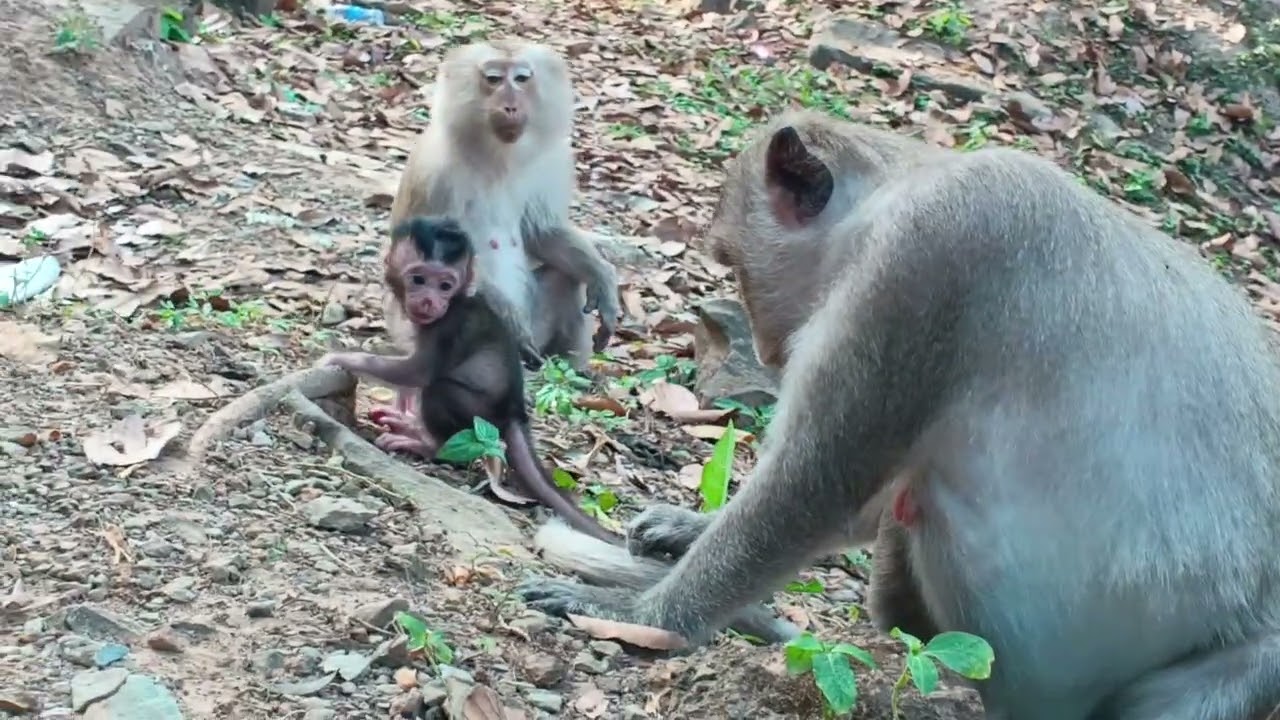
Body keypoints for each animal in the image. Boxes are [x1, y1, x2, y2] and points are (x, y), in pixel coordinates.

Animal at [321, 215, 620, 545]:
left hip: (480, 415)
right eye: (418, 279)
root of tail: (514, 410)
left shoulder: (446, 327)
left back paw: (427, 445)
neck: (458, 301)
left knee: (439, 391)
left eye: (445, 285)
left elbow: (419, 372)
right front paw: (403, 398)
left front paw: (338, 358)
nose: (429, 301)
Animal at [373, 39, 622, 455]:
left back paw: (575, 372)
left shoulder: (552, 160)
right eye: (493, 79)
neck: (497, 154)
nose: (510, 105)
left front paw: (604, 278)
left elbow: (542, 232)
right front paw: (512, 326)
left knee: (564, 280)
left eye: (521, 79)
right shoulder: (435, 168)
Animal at [517, 109, 1280, 720]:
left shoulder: (930, 258)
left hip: (1229, 671)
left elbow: (818, 487)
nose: (765, 346)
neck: (895, 194)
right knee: (915, 505)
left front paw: (639, 615)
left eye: (733, 263)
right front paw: (685, 526)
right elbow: (863, 501)